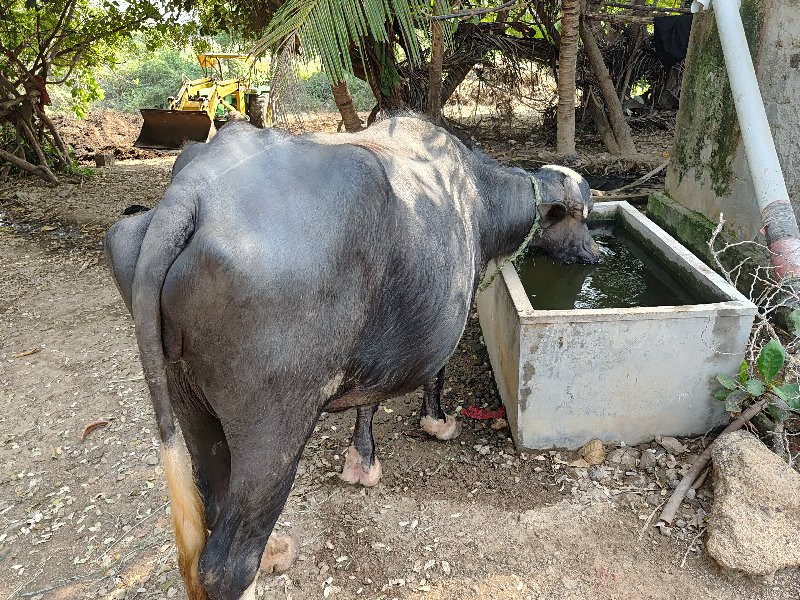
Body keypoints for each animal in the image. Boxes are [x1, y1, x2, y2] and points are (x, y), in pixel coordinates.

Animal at [103, 115, 596, 596]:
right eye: (582, 218)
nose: (595, 251)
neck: (476, 198)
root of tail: (192, 194)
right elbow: (435, 375)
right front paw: (438, 422)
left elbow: (368, 401)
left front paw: (362, 461)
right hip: (274, 427)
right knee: (226, 566)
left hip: (189, 404)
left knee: (214, 501)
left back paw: (272, 548)